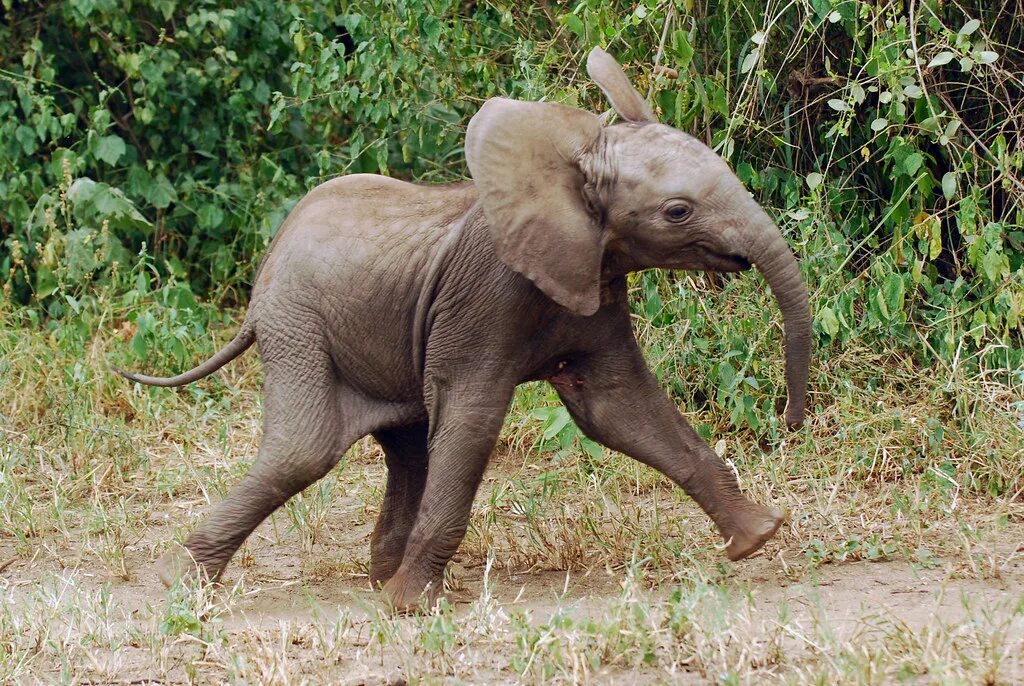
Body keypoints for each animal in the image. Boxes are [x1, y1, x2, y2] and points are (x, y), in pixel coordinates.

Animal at [117, 51, 806, 614]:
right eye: (678, 211)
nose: (792, 423)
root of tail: (266, 268)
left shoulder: (592, 283)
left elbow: (618, 409)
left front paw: (759, 536)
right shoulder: (485, 298)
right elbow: (474, 417)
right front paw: (408, 610)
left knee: (408, 443)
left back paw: (376, 575)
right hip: (297, 324)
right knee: (304, 451)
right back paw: (187, 587)